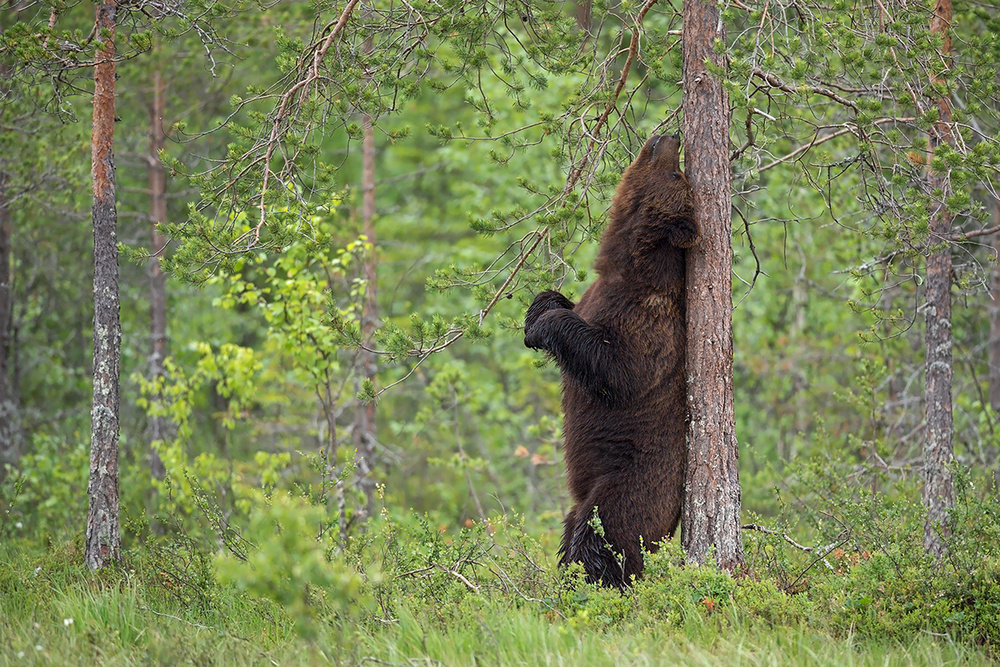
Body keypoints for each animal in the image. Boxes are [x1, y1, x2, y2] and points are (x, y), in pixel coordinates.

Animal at [524, 133, 696, 588]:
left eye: (677, 174)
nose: (671, 136)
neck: (625, 267)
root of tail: (671, 526)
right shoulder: (598, 297)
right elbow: (564, 302)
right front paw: (537, 312)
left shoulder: (648, 324)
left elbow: (617, 370)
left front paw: (543, 326)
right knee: (573, 524)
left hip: (629, 483)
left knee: (602, 532)